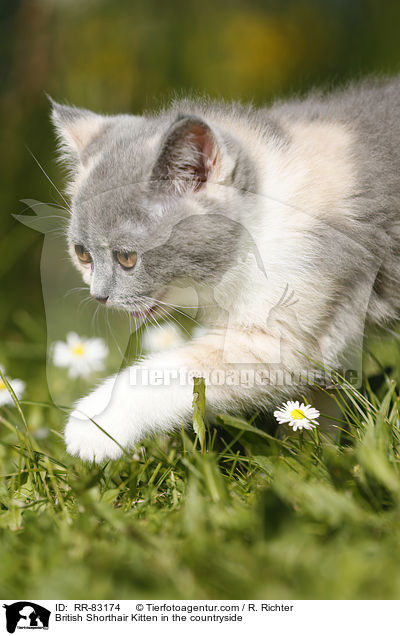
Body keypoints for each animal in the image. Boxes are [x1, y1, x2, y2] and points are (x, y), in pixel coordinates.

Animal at [51, 79, 400, 462]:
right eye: (82, 254)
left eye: (127, 257)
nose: (99, 295)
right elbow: (323, 392)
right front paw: (308, 453)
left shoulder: (286, 327)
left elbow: (174, 371)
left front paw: (94, 424)